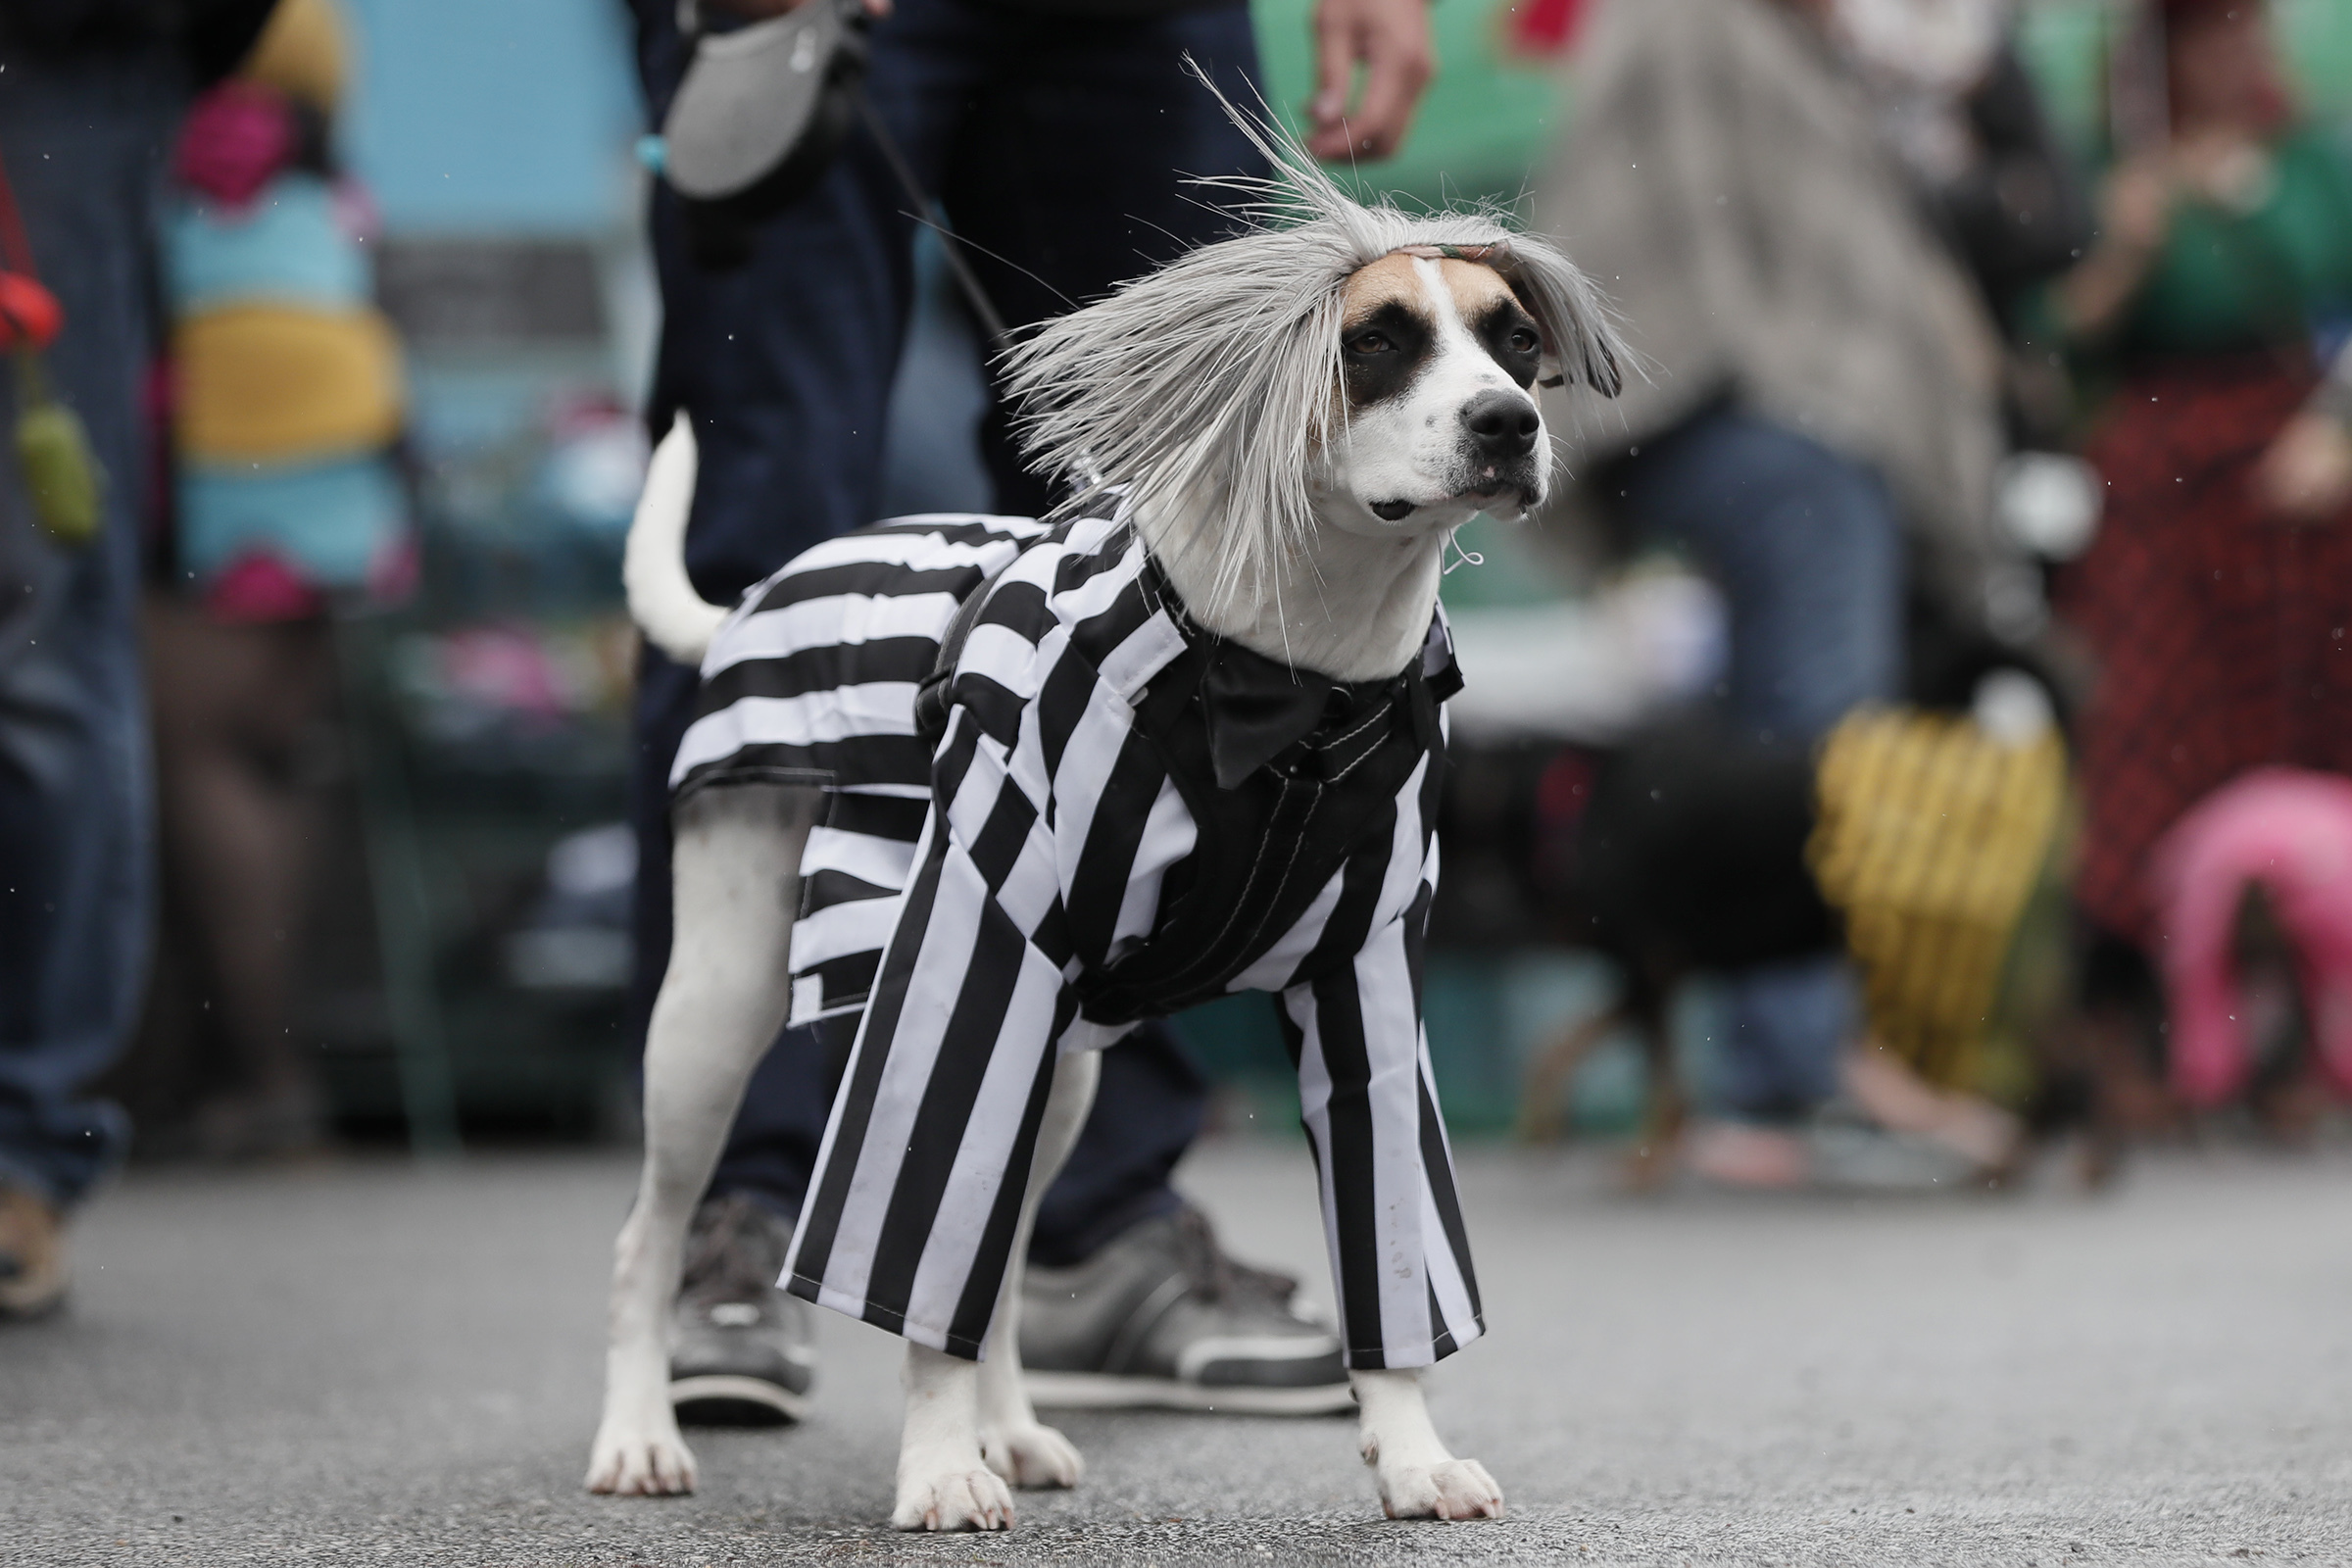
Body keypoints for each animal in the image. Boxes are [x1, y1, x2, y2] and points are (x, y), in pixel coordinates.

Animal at [592, 113, 1618, 1533]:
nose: (1507, 423)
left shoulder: (1366, 989)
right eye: (1374, 341)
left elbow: (1390, 1250)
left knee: (1009, 1254)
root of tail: (769, 592)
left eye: (1515, 339)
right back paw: (645, 1430)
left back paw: (1009, 1427)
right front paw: (935, 1465)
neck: (1293, 684)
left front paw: (1411, 1451)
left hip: (1059, 1073)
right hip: (717, 1016)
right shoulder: (968, 970)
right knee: (653, 1239)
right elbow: (911, 1249)